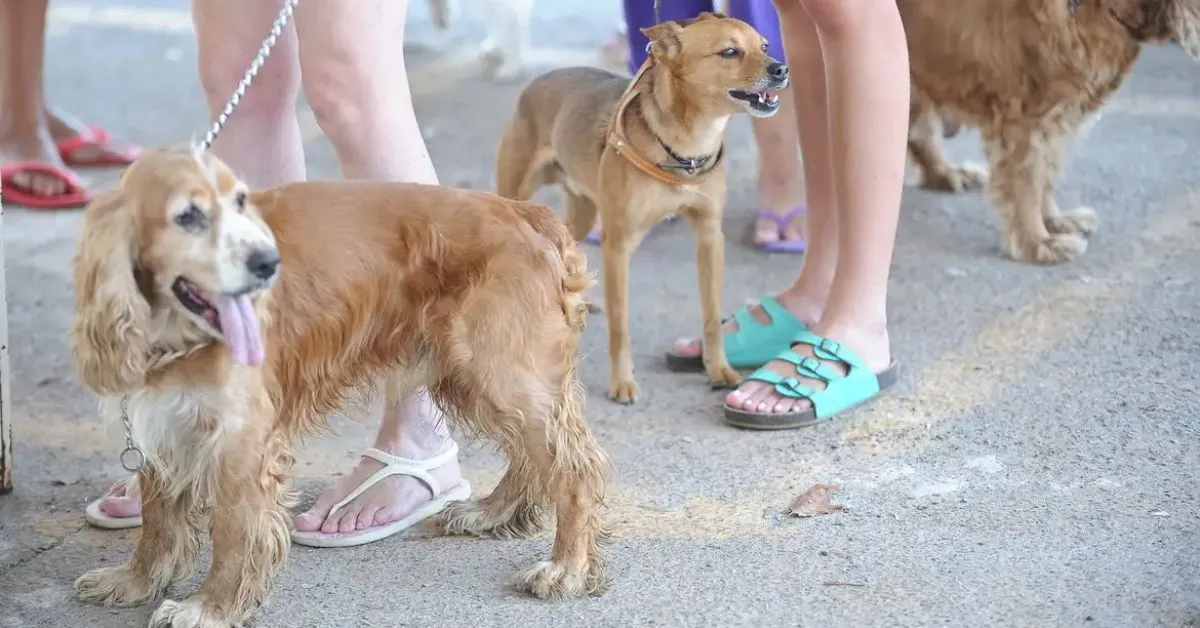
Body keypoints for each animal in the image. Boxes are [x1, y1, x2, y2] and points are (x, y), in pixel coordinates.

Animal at [68, 145, 609, 624]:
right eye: (188, 216)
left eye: (240, 202)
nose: (268, 263)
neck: (176, 331)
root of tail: (524, 212)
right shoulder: (164, 421)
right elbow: (158, 522)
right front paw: (134, 582)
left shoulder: (241, 441)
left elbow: (233, 532)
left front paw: (211, 608)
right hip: (476, 377)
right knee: (533, 456)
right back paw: (491, 513)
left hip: (499, 372)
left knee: (574, 467)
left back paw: (566, 568)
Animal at [489, 12, 787, 405]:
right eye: (729, 52)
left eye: (765, 46)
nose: (782, 68)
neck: (687, 146)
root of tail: (536, 83)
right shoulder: (619, 246)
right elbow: (621, 326)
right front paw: (622, 382)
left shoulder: (709, 236)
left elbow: (711, 316)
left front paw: (718, 369)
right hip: (517, 196)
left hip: (583, 211)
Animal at [902, 0, 1195, 264]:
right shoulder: (1024, 120)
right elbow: (1027, 184)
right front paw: (1038, 242)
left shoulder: (1051, 119)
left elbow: (1045, 176)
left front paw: (1055, 221)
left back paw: (947, 173)